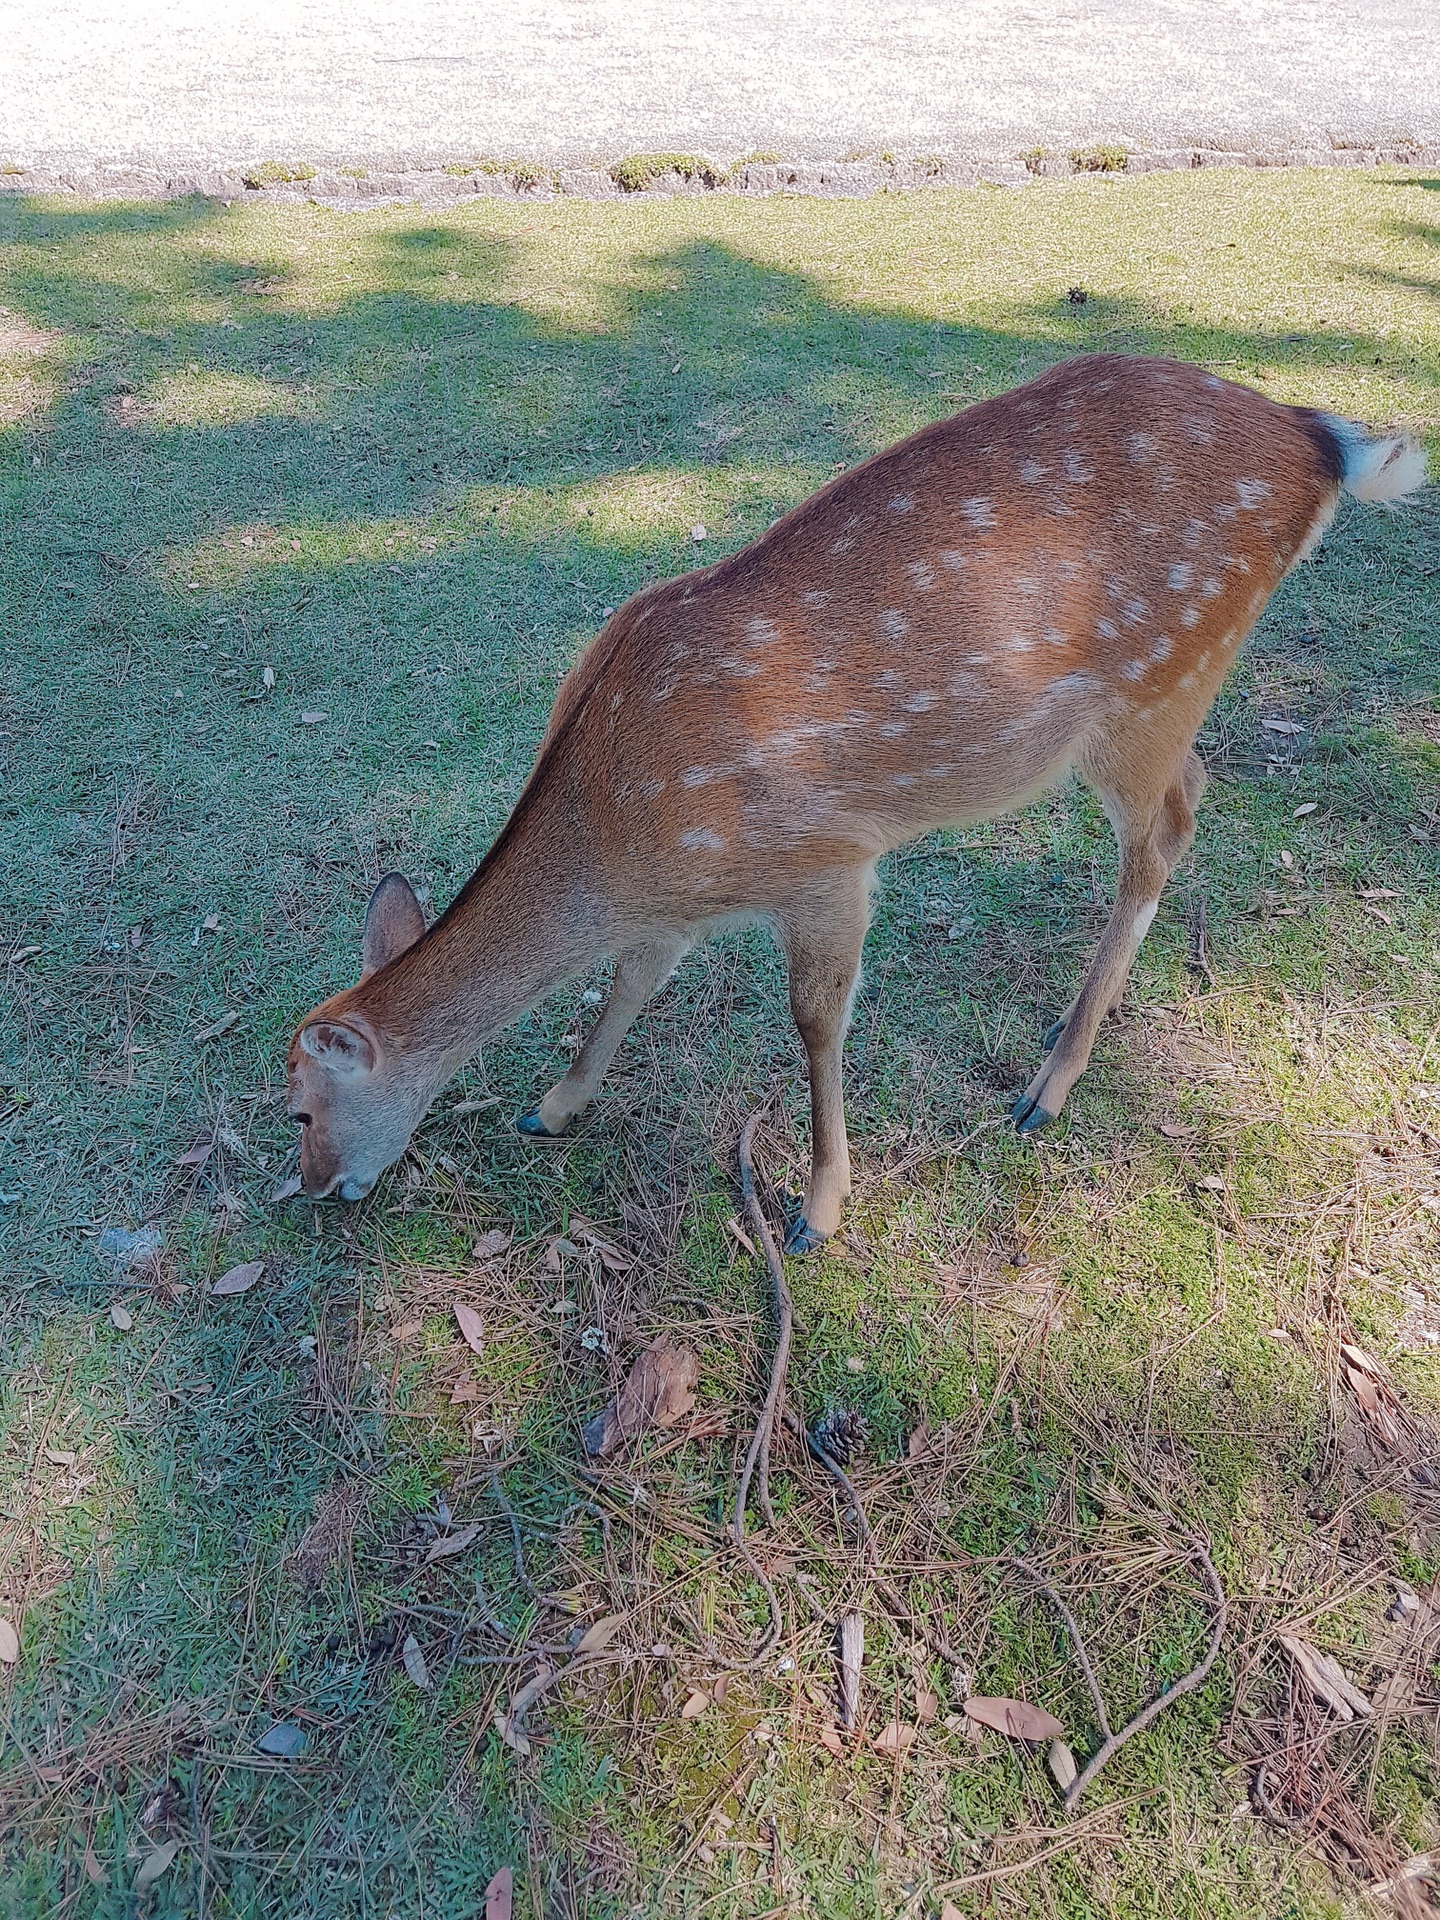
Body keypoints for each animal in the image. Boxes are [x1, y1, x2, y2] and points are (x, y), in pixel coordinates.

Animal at [288, 355, 1428, 1251]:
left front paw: (820, 1208)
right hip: (1160, 705)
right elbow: (628, 987)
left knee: (1164, 834)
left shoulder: (826, 862)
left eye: (298, 1108)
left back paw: (1047, 1087)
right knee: (1194, 793)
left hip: (1157, 686)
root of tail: (1318, 439)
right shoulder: (675, 905)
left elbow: (815, 1025)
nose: (311, 1189)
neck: (617, 835)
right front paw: (553, 1108)